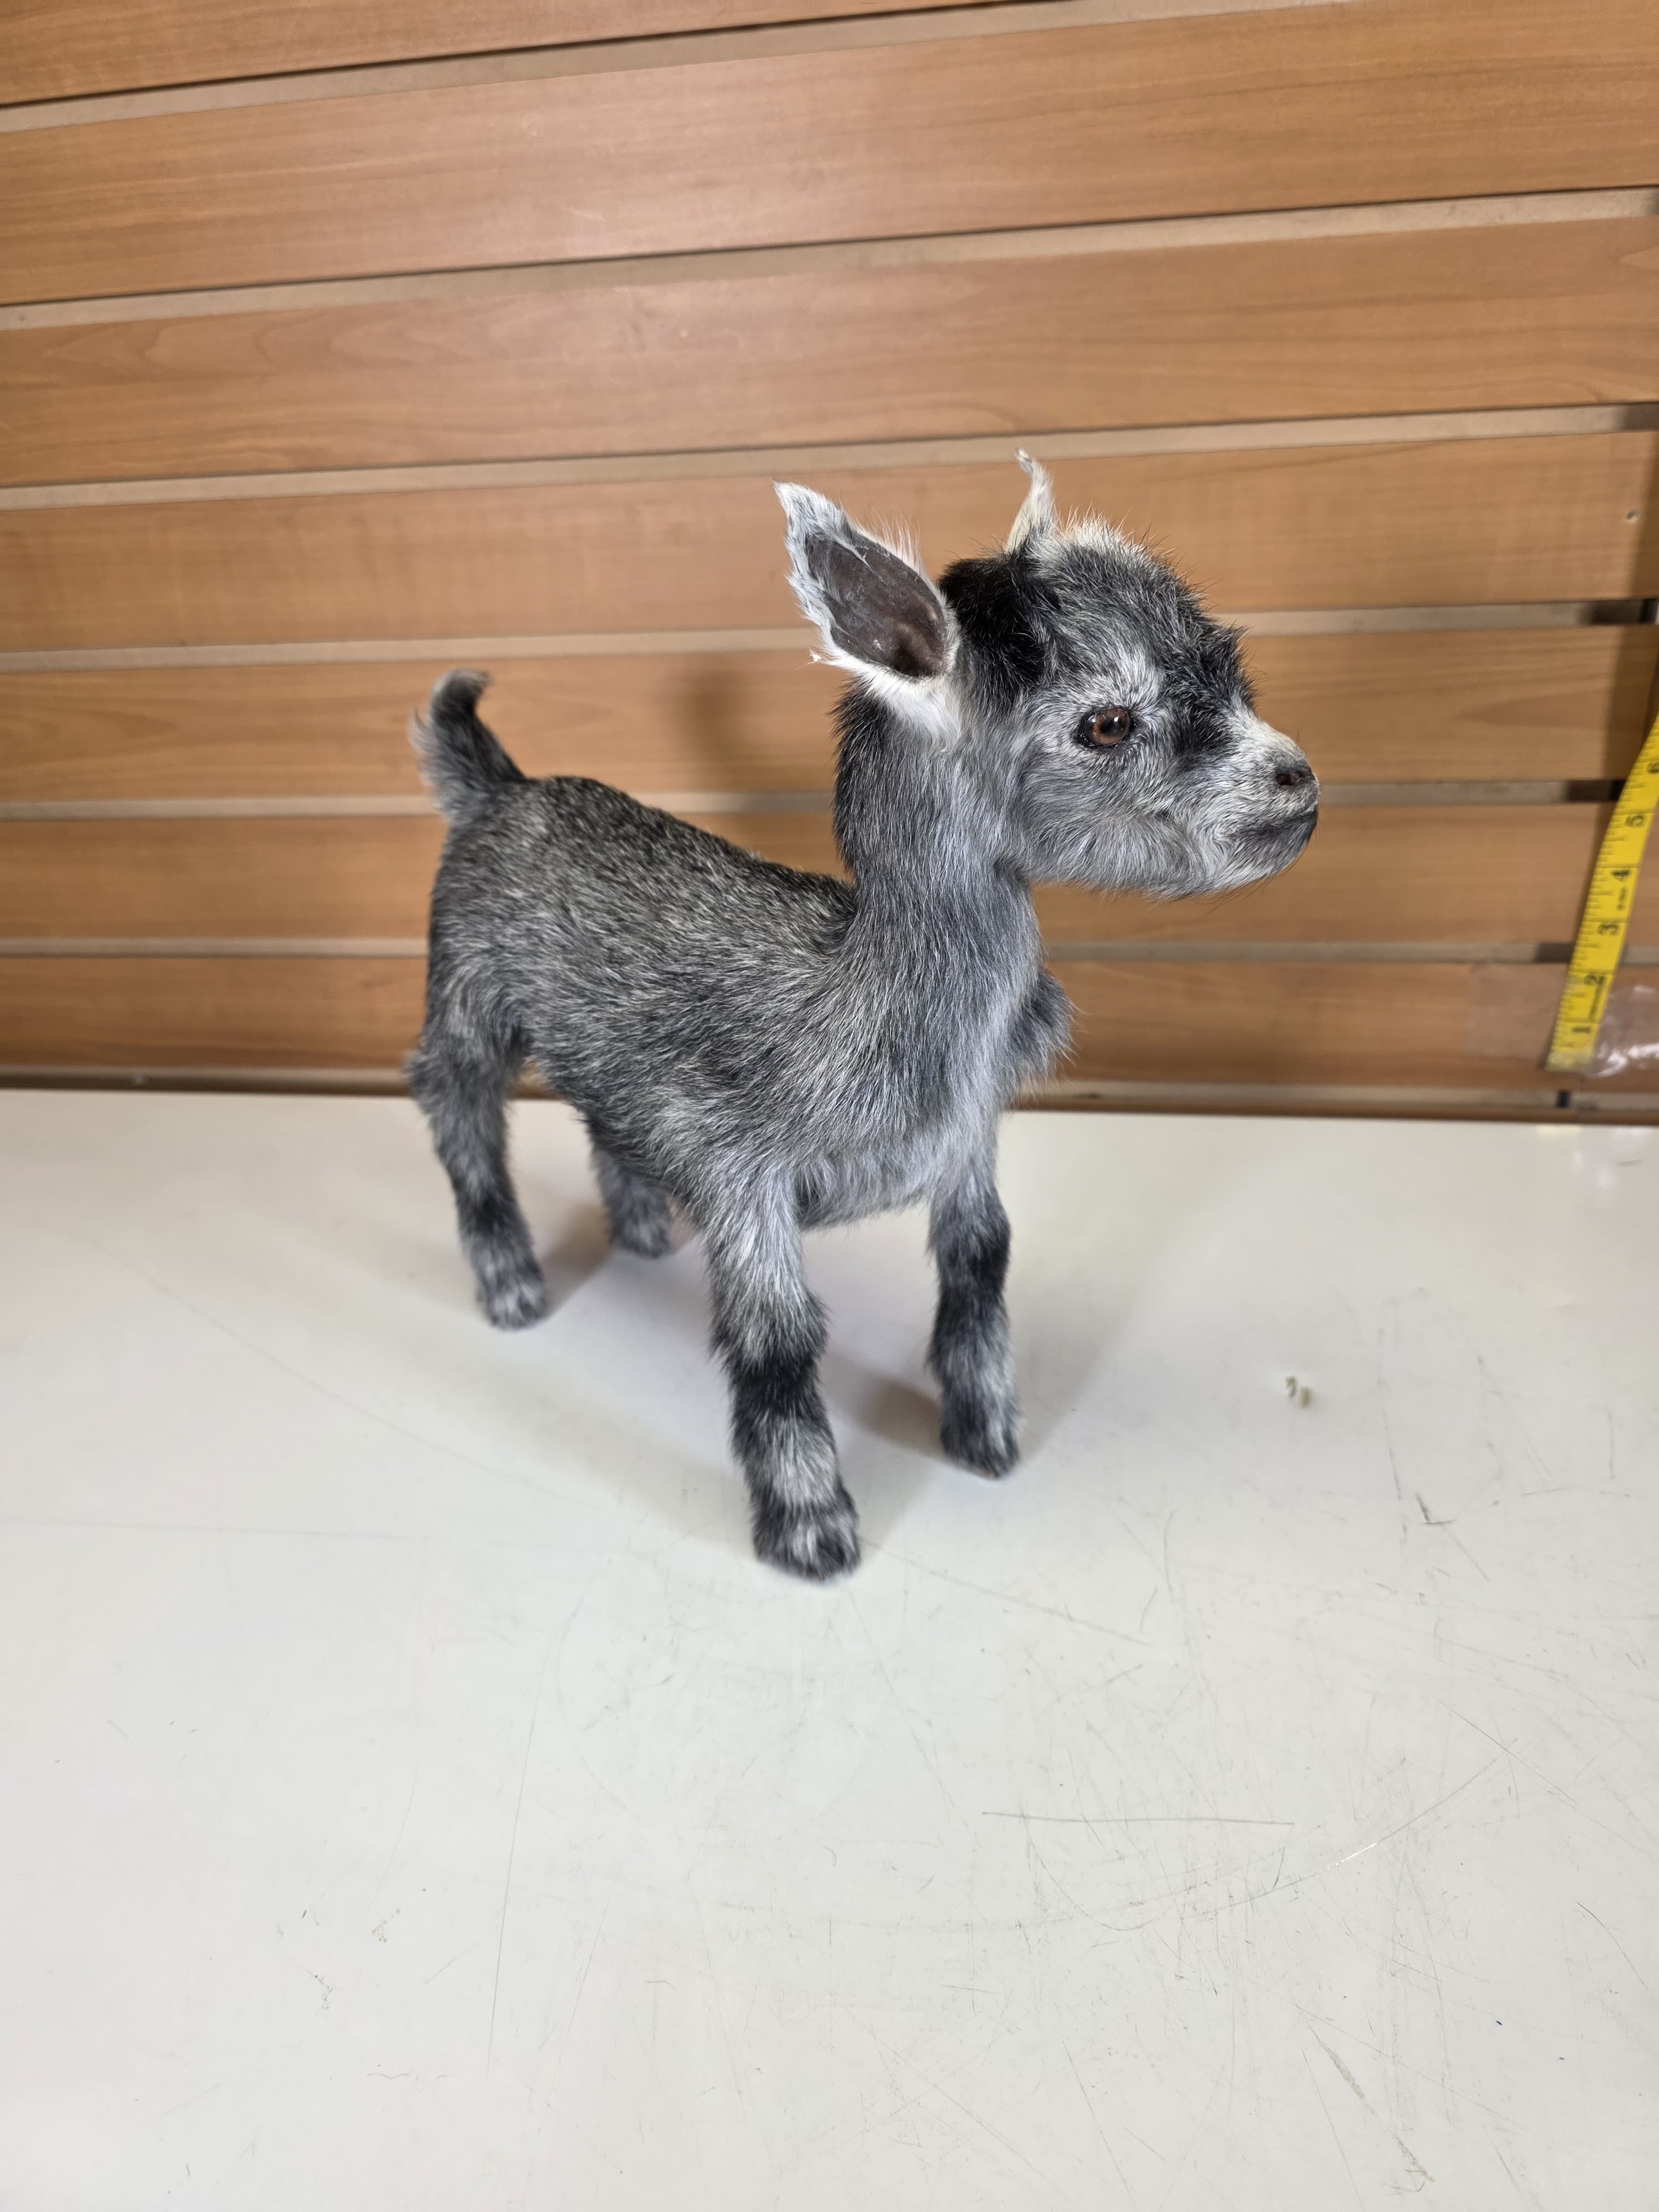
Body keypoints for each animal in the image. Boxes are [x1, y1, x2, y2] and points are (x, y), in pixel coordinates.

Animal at [408, 459, 1317, 1578]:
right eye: (1107, 724)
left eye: (1230, 667)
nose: (1298, 781)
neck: (866, 993)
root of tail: (497, 789)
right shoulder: (742, 1171)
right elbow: (778, 1340)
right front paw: (812, 1529)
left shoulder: (965, 1143)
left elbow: (980, 1267)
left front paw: (986, 1436)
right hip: (465, 989)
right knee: (459, 1112)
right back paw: (511, 1286)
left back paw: (644, 1230)